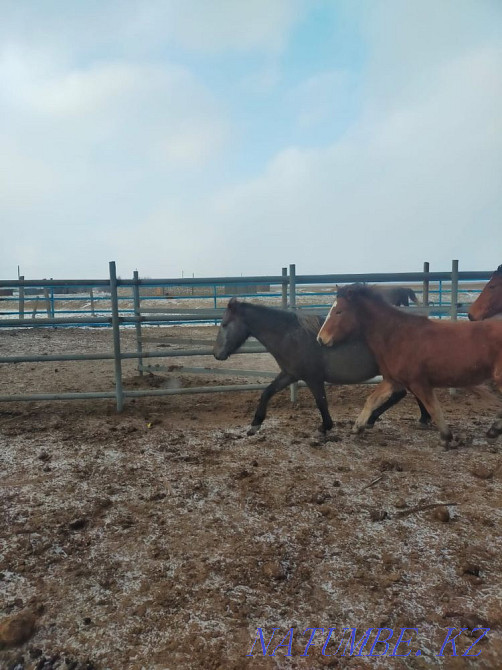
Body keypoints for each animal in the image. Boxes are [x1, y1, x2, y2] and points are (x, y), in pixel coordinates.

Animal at [213, 298, 431, 435]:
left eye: (224, 324)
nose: (216, 354)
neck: (290, 335)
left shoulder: (313, 377)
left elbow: (321, 401)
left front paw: (325, 427)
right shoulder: (289, 374)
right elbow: (266, 392)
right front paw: (255, 425)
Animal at [317, 284, 502, 445]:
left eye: (339, 311)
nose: (321, 338)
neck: (396, 335)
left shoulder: (418, 383)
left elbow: (433, 408)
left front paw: (446, 437)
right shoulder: (393, 380)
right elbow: (372, 399)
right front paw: (357, 427)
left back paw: (494, 430)